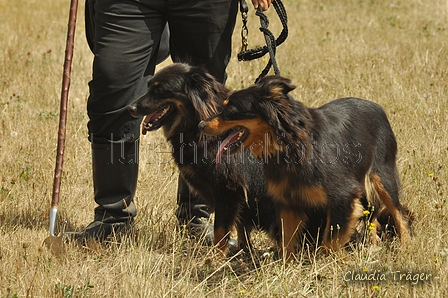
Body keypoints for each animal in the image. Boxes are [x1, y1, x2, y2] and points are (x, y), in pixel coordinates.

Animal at [127, 62, 280, 254]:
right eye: (148, 87)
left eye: (160, 89)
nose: (130, 108)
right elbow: (241, 227)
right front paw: (243, 251)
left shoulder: (228, 190)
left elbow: (221, 232)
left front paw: (216, 257)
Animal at [200, 75, 412, 260]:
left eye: (230, 109)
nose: (201, 124)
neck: (289, 144)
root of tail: (377, 107)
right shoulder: (287, 201)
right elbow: (287, 243)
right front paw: (287, 269)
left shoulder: (344, 196)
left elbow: (330, 243)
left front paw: (334, 262)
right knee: (372, 217)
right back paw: (372, 248)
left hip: (382, 176)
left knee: (399, 214)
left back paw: (405, 248)